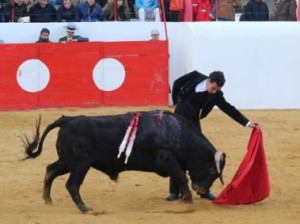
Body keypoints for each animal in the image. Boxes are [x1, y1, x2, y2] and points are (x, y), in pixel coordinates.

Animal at [23, 111, 225, 213]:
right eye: (211, 170)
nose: (202, 190)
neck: (178, 132)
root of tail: (67, 120)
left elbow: (179, 178)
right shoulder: (166, 160)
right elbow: (182, 177)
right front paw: (188, 202)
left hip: (68, 162)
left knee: (50, 170)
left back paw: (48, 200)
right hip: (81, 164)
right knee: (72, 184)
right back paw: (86, 209)